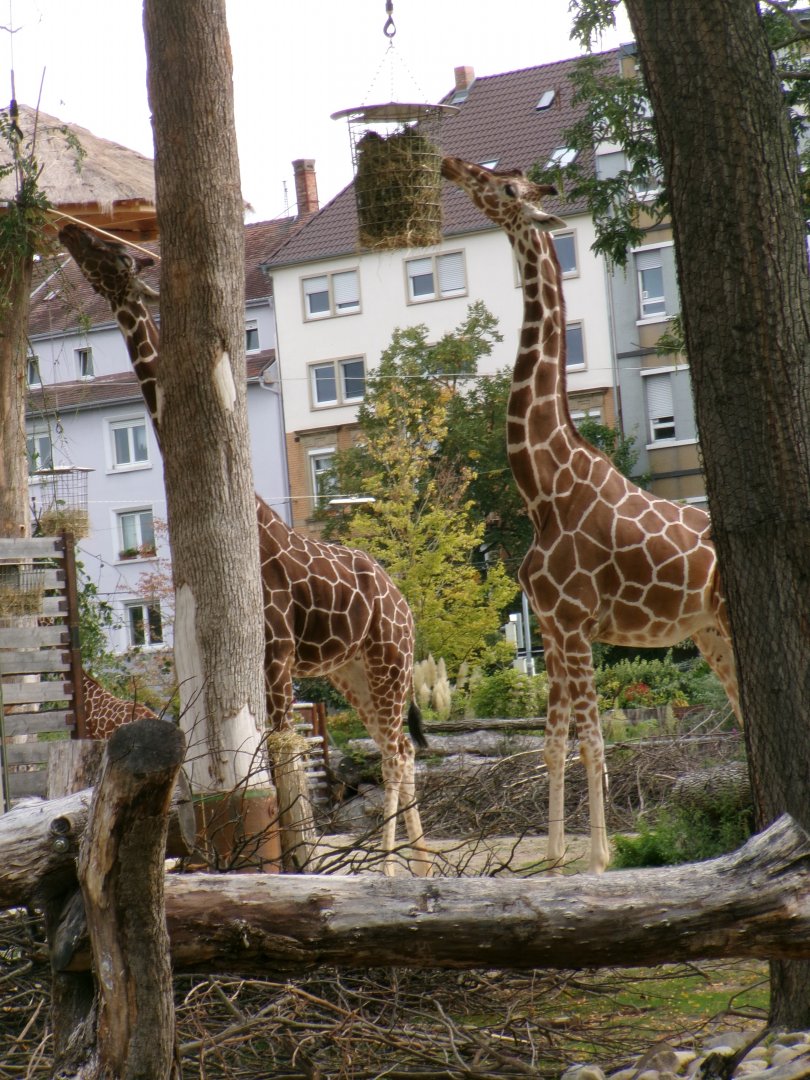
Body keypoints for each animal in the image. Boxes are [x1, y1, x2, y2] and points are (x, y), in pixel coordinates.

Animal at [58, 224, 431, 877]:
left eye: (113, 254)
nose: (68, 230)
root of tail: (403, 601)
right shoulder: (270, 662)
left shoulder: (277, 655)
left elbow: (286, 753)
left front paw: (303, 868)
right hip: (353, 671)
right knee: (400, 750)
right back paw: (419, 866)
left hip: (389, 660)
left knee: (395, 752)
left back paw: (392, 869)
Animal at [441, 157, 740, 874]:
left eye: (507, 187)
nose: (450, 164)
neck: (543, 489)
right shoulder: (551, 630)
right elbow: (553, 741)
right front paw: (553, 860)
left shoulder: (576, 625)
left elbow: (593, 740)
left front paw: (601, 858)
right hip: (708, 631)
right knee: (746, 713)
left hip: (722, 623)